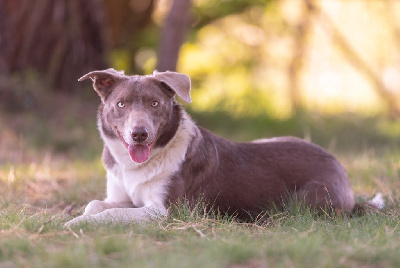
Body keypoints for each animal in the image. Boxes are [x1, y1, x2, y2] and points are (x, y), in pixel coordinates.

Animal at [65, 68, 384, 226]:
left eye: (154, 104)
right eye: (121, 105)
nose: (139, 134)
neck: (139, 164)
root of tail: (340, 169)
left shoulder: (167, 211)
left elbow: (109, 214)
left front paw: (75, 224)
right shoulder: (123, 196)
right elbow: (96, 204)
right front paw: (77, 216)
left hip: (308, 198)